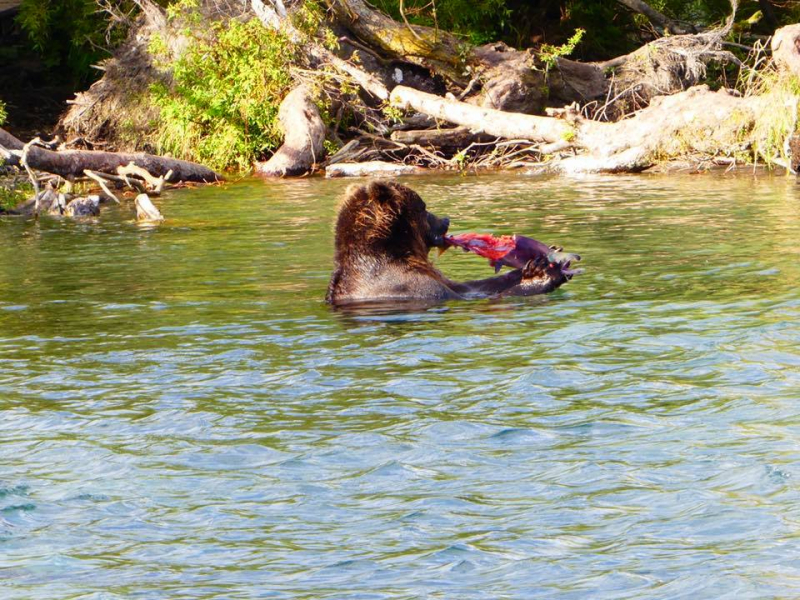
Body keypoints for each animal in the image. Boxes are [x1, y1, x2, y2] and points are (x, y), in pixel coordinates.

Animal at [324, 180, 576, 304]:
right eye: (424, 206)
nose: (444, 219)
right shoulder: (405, 285)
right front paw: (545, 275)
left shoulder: (437, 277)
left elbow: (471, 286)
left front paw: (534, 265)